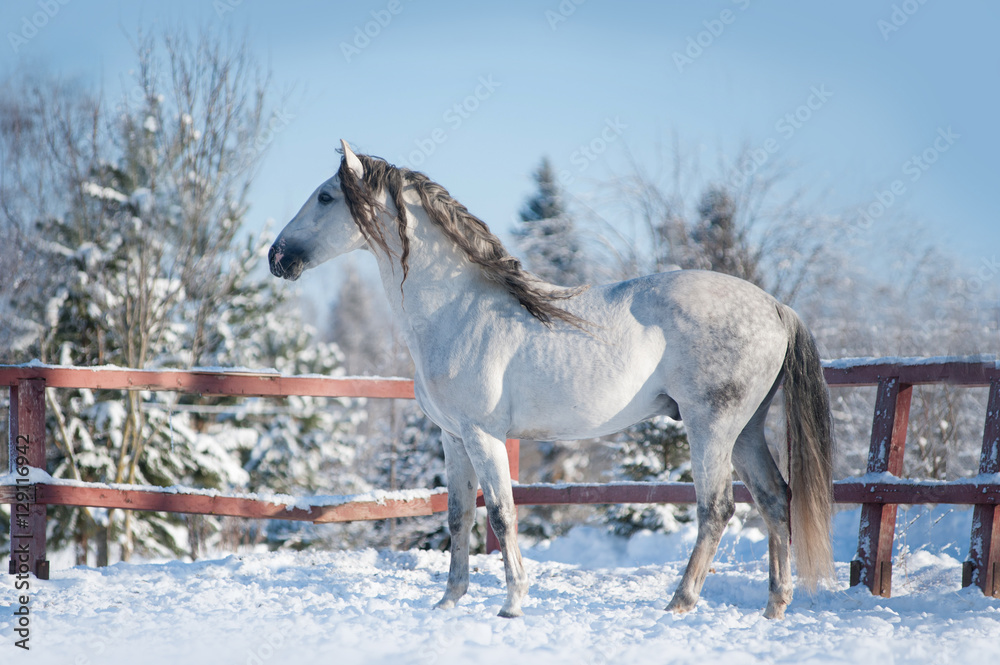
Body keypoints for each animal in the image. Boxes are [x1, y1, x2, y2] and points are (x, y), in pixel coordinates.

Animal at [268, 140, 835, 619]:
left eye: (324, 196)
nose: (277, 257)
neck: (457, 309)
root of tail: (775, 307)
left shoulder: (483, 435)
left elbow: (501, 514)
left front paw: (512, 603)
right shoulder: (453, 438)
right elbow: (458, 517)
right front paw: (449, 602)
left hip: (711, 428)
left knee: (716, 509)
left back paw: (680, 603)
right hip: (745, 431)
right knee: (774, 499)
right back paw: (774, 607)